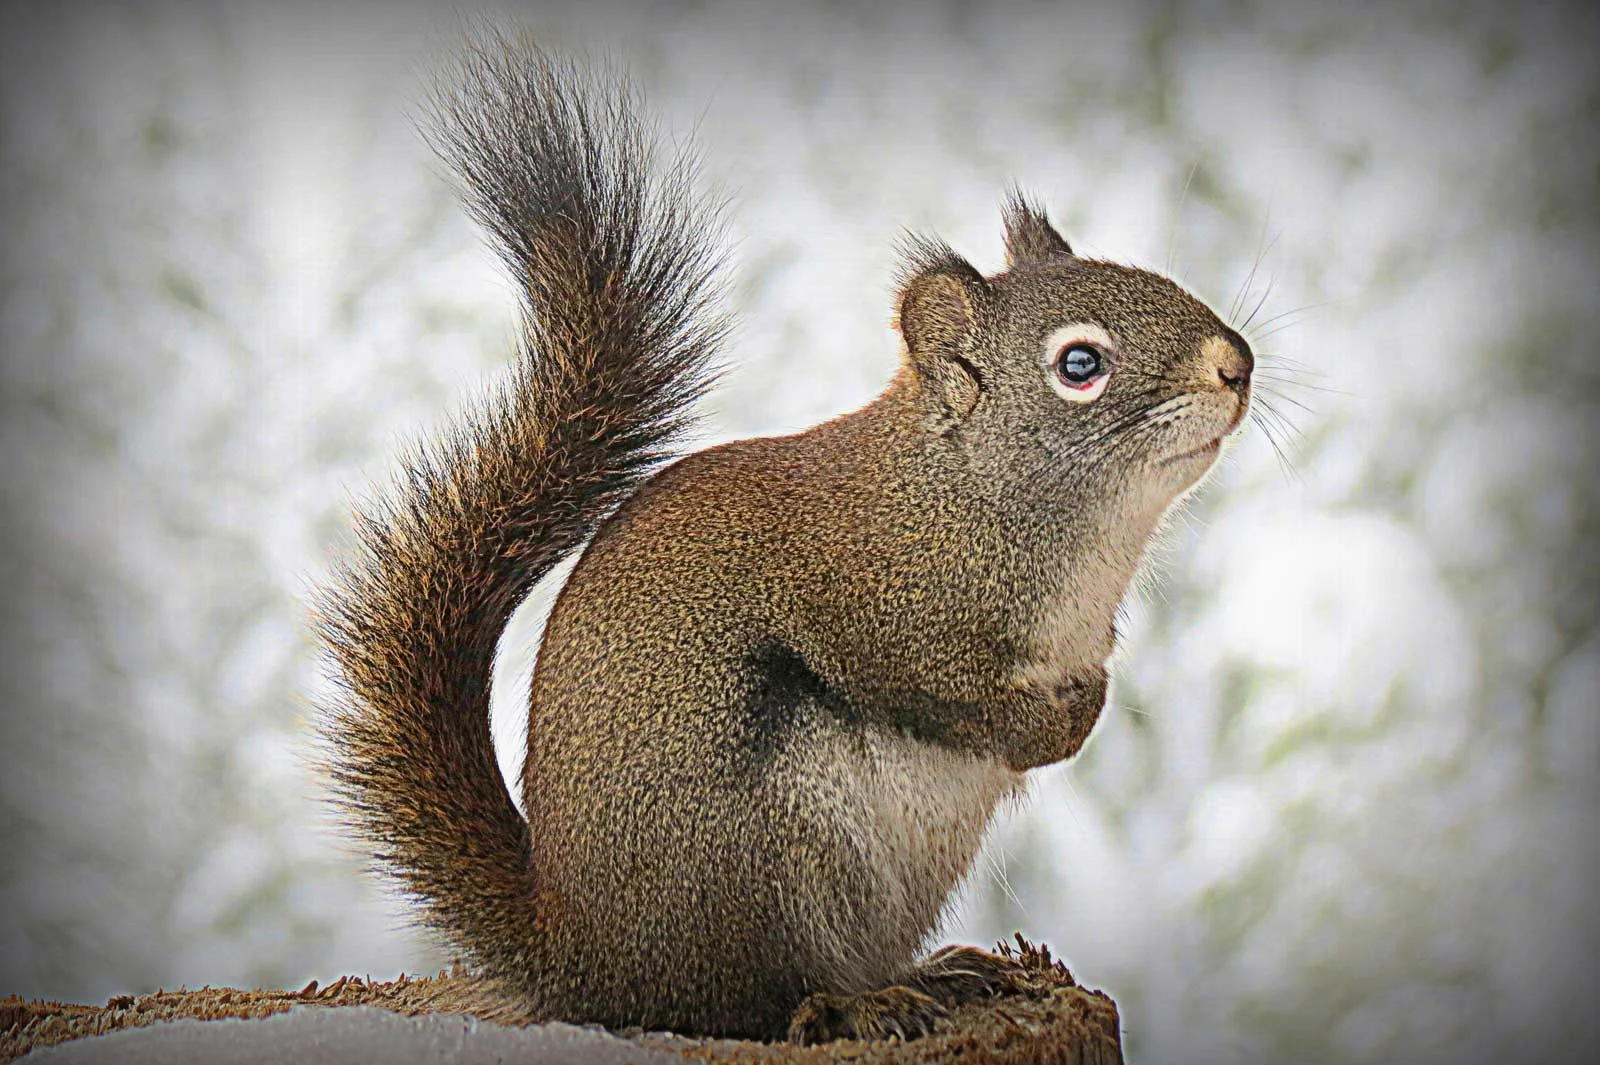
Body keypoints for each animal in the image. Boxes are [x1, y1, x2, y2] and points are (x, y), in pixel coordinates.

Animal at [315, 31, 1252, 1046]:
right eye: (1080, 364)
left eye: (1158, 279)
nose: (1235, 362)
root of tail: (582, 964)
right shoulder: (876, 610)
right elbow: (944, 695)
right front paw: (1059, 723)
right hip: (765, 850)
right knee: (752, 998)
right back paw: (859, 1000)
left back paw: (946, 972)